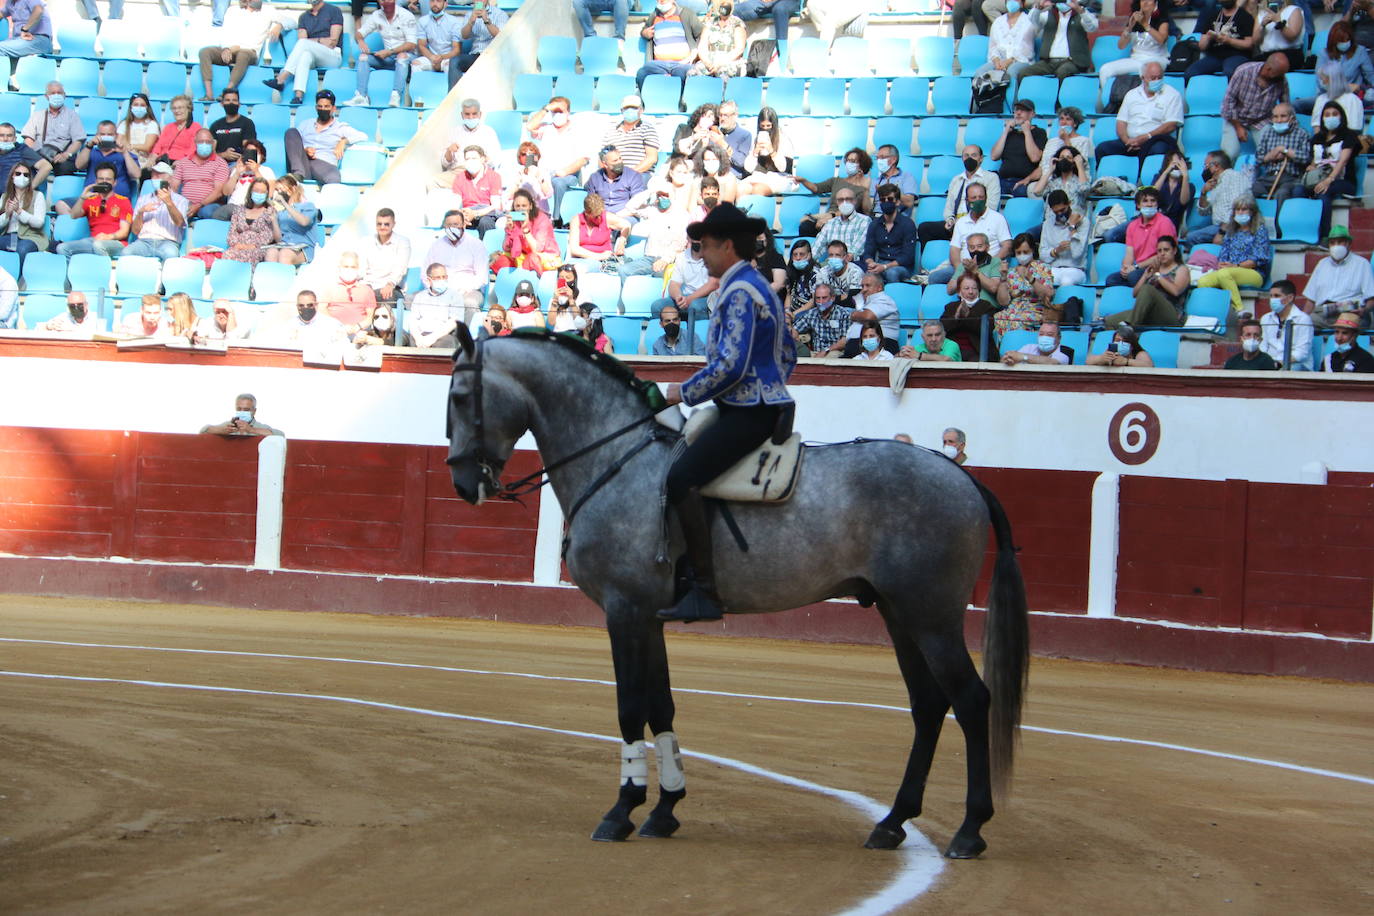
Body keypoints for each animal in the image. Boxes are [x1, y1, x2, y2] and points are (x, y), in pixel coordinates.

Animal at [450, 329, 1033, 862]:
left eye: (458, 396)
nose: (462, 485)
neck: (616, 458)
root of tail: (961, 476)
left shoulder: (624, 611)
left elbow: (629, 708)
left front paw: (621, 811)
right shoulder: (650, 617)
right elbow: (661, 706)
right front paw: (665, 810)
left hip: (932, 617)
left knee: (971, 700)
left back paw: (969, 829)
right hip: (898, 613)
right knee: (929, 705)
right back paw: (892, 823)